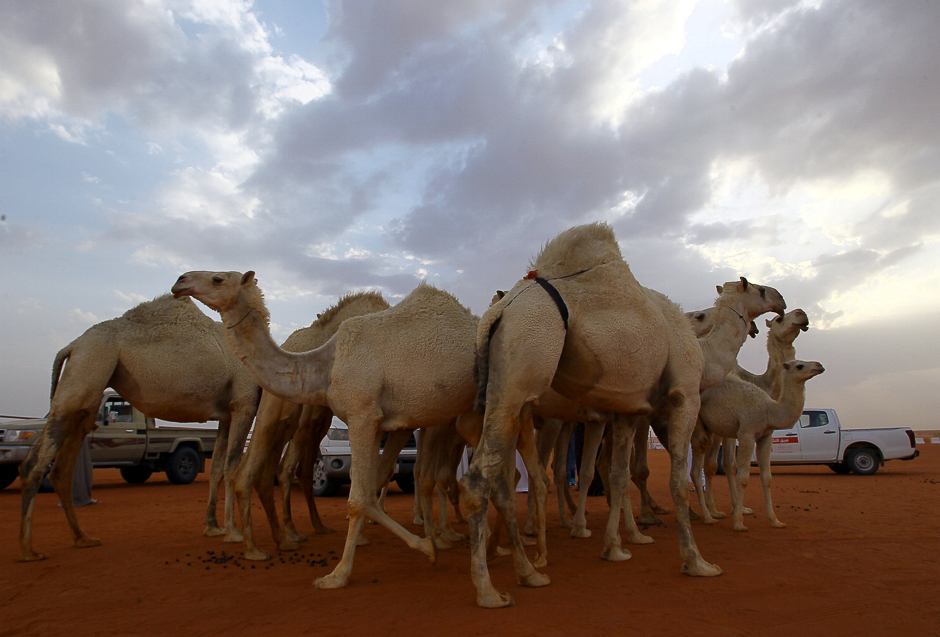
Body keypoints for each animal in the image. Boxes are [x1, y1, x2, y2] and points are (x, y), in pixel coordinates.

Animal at [17, 296, 260, 560]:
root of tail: (72, 346)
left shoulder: (226, 413)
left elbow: (216, 468)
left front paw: (213, 526)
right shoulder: (244, 402)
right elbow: (231, 466)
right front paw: (234, 532)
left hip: (85, 389)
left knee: (59, 469)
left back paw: (83, 538)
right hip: (88, 368)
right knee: (37, 464)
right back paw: (29, 550)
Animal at [229, 290, 392, 560]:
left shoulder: (317, 425)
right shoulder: (305, 426)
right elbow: (290, 470)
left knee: (277, 472)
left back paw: (306, 529)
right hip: (276, 421)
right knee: (260, 469)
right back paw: (263, 540)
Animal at [462, 224, 720, 608]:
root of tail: (499, 312)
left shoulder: (629, 409)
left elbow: (617, 475)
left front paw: (615, 548)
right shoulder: (684, 394)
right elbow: (677, 481)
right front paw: (696, 561)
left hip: (503, 390)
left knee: (502, 479)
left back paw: (528, 573)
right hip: (527, 356)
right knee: (480, 479)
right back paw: (489, 590)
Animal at [692, 360, 824, 528]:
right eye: (799, 366)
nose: (819, 366)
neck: (769, 410)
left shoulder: (765, 437)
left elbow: (767, 478)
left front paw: (775, 520)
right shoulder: (747, 434)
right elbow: (743, 477)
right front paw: (738, 522)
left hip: (712, 428)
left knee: (709, 463)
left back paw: (714, 512)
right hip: (697, 421)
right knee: (695, 466)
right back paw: (707, 517)